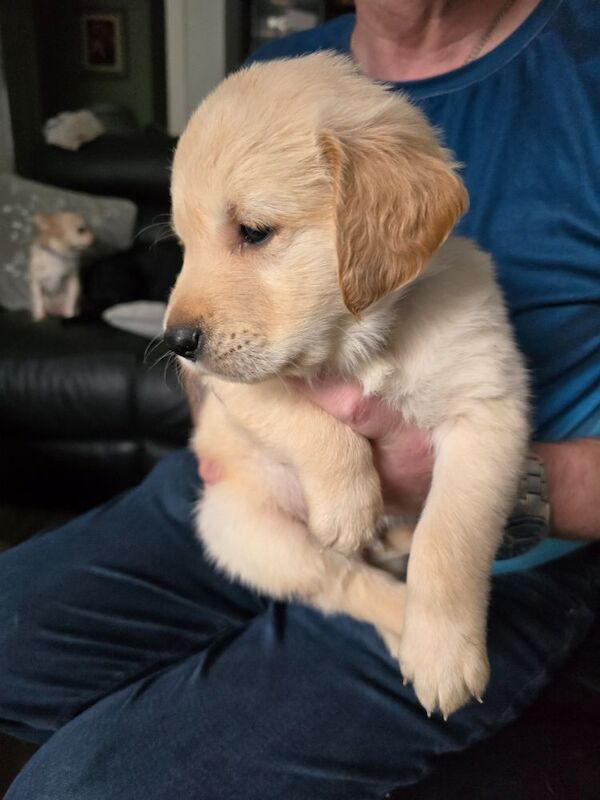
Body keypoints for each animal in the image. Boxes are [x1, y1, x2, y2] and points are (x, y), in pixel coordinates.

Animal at [165, 54, 528, 720]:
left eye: (254, 231)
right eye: (184, 244)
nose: (175, 342)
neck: (360, 343)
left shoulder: (486, 408)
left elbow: (449, 538)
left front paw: (442, 652)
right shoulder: (238, 391)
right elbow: (306, 424)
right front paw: (349, 504)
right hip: (241, 529)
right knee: (344, 582)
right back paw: (392, 602)